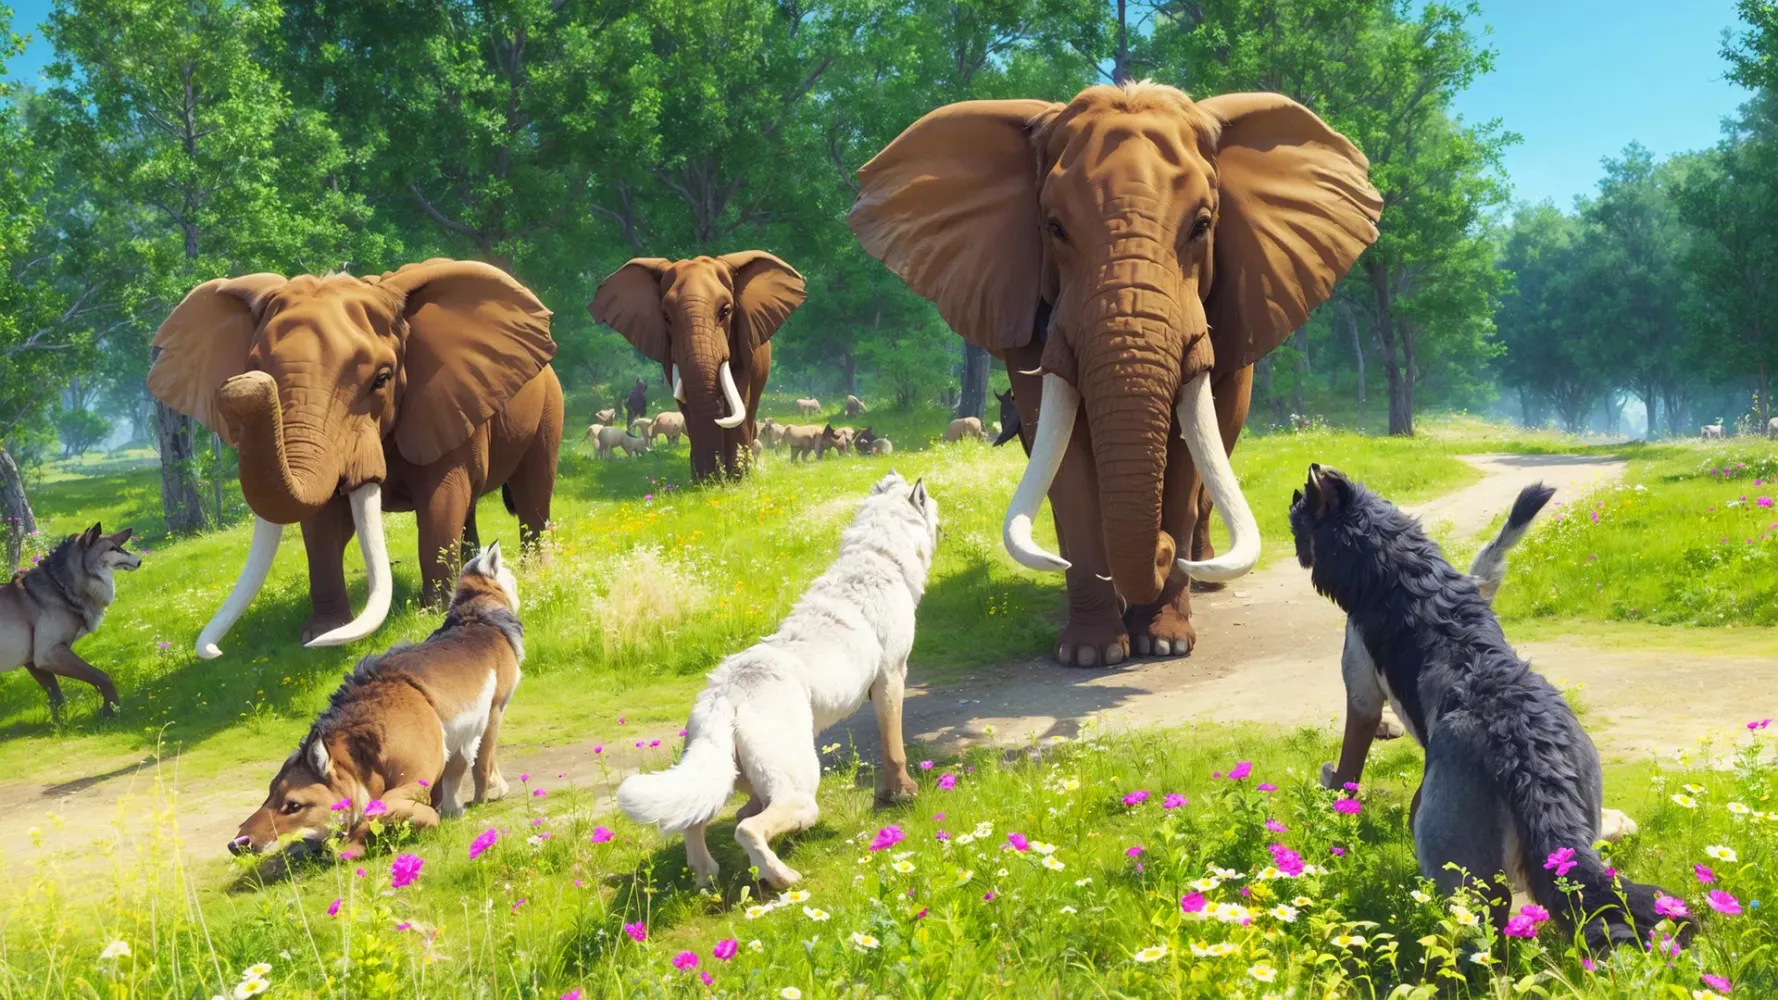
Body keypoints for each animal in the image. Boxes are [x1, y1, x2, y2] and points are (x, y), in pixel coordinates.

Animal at [0, 523, 141, 718]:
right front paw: (110, 711)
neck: (59, 587)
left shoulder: (33, 662)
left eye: (119, 547)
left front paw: (62, 724)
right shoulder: (48, 654)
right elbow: (102, 677)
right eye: (112, 548)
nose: (139, 561)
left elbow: (56, 698)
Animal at [229, 544, 523, 863]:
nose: (236, 844)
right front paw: (485, 796)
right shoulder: (492, 713)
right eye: (278, 799)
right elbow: (480, 766)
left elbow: (459, 776)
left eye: (292, 805)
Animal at [619, 473, 940, 889]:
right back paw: (781, 875)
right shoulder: (891, 679)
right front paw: (902, 794)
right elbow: (894, 749)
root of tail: (725, 693)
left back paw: (708, 875)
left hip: (723, 773)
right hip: (801, 789)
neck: (879, 556)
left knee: (704, 820)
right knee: (749, 828)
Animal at [1290, 465, 1688, 950]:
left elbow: (1348, 766)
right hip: (1572, 837)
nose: (1292, 534)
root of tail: (1527, 757)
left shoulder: (1361, 693)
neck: (1401, 569)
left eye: (1298, 511)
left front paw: (1333, 796)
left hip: (1449, 853)